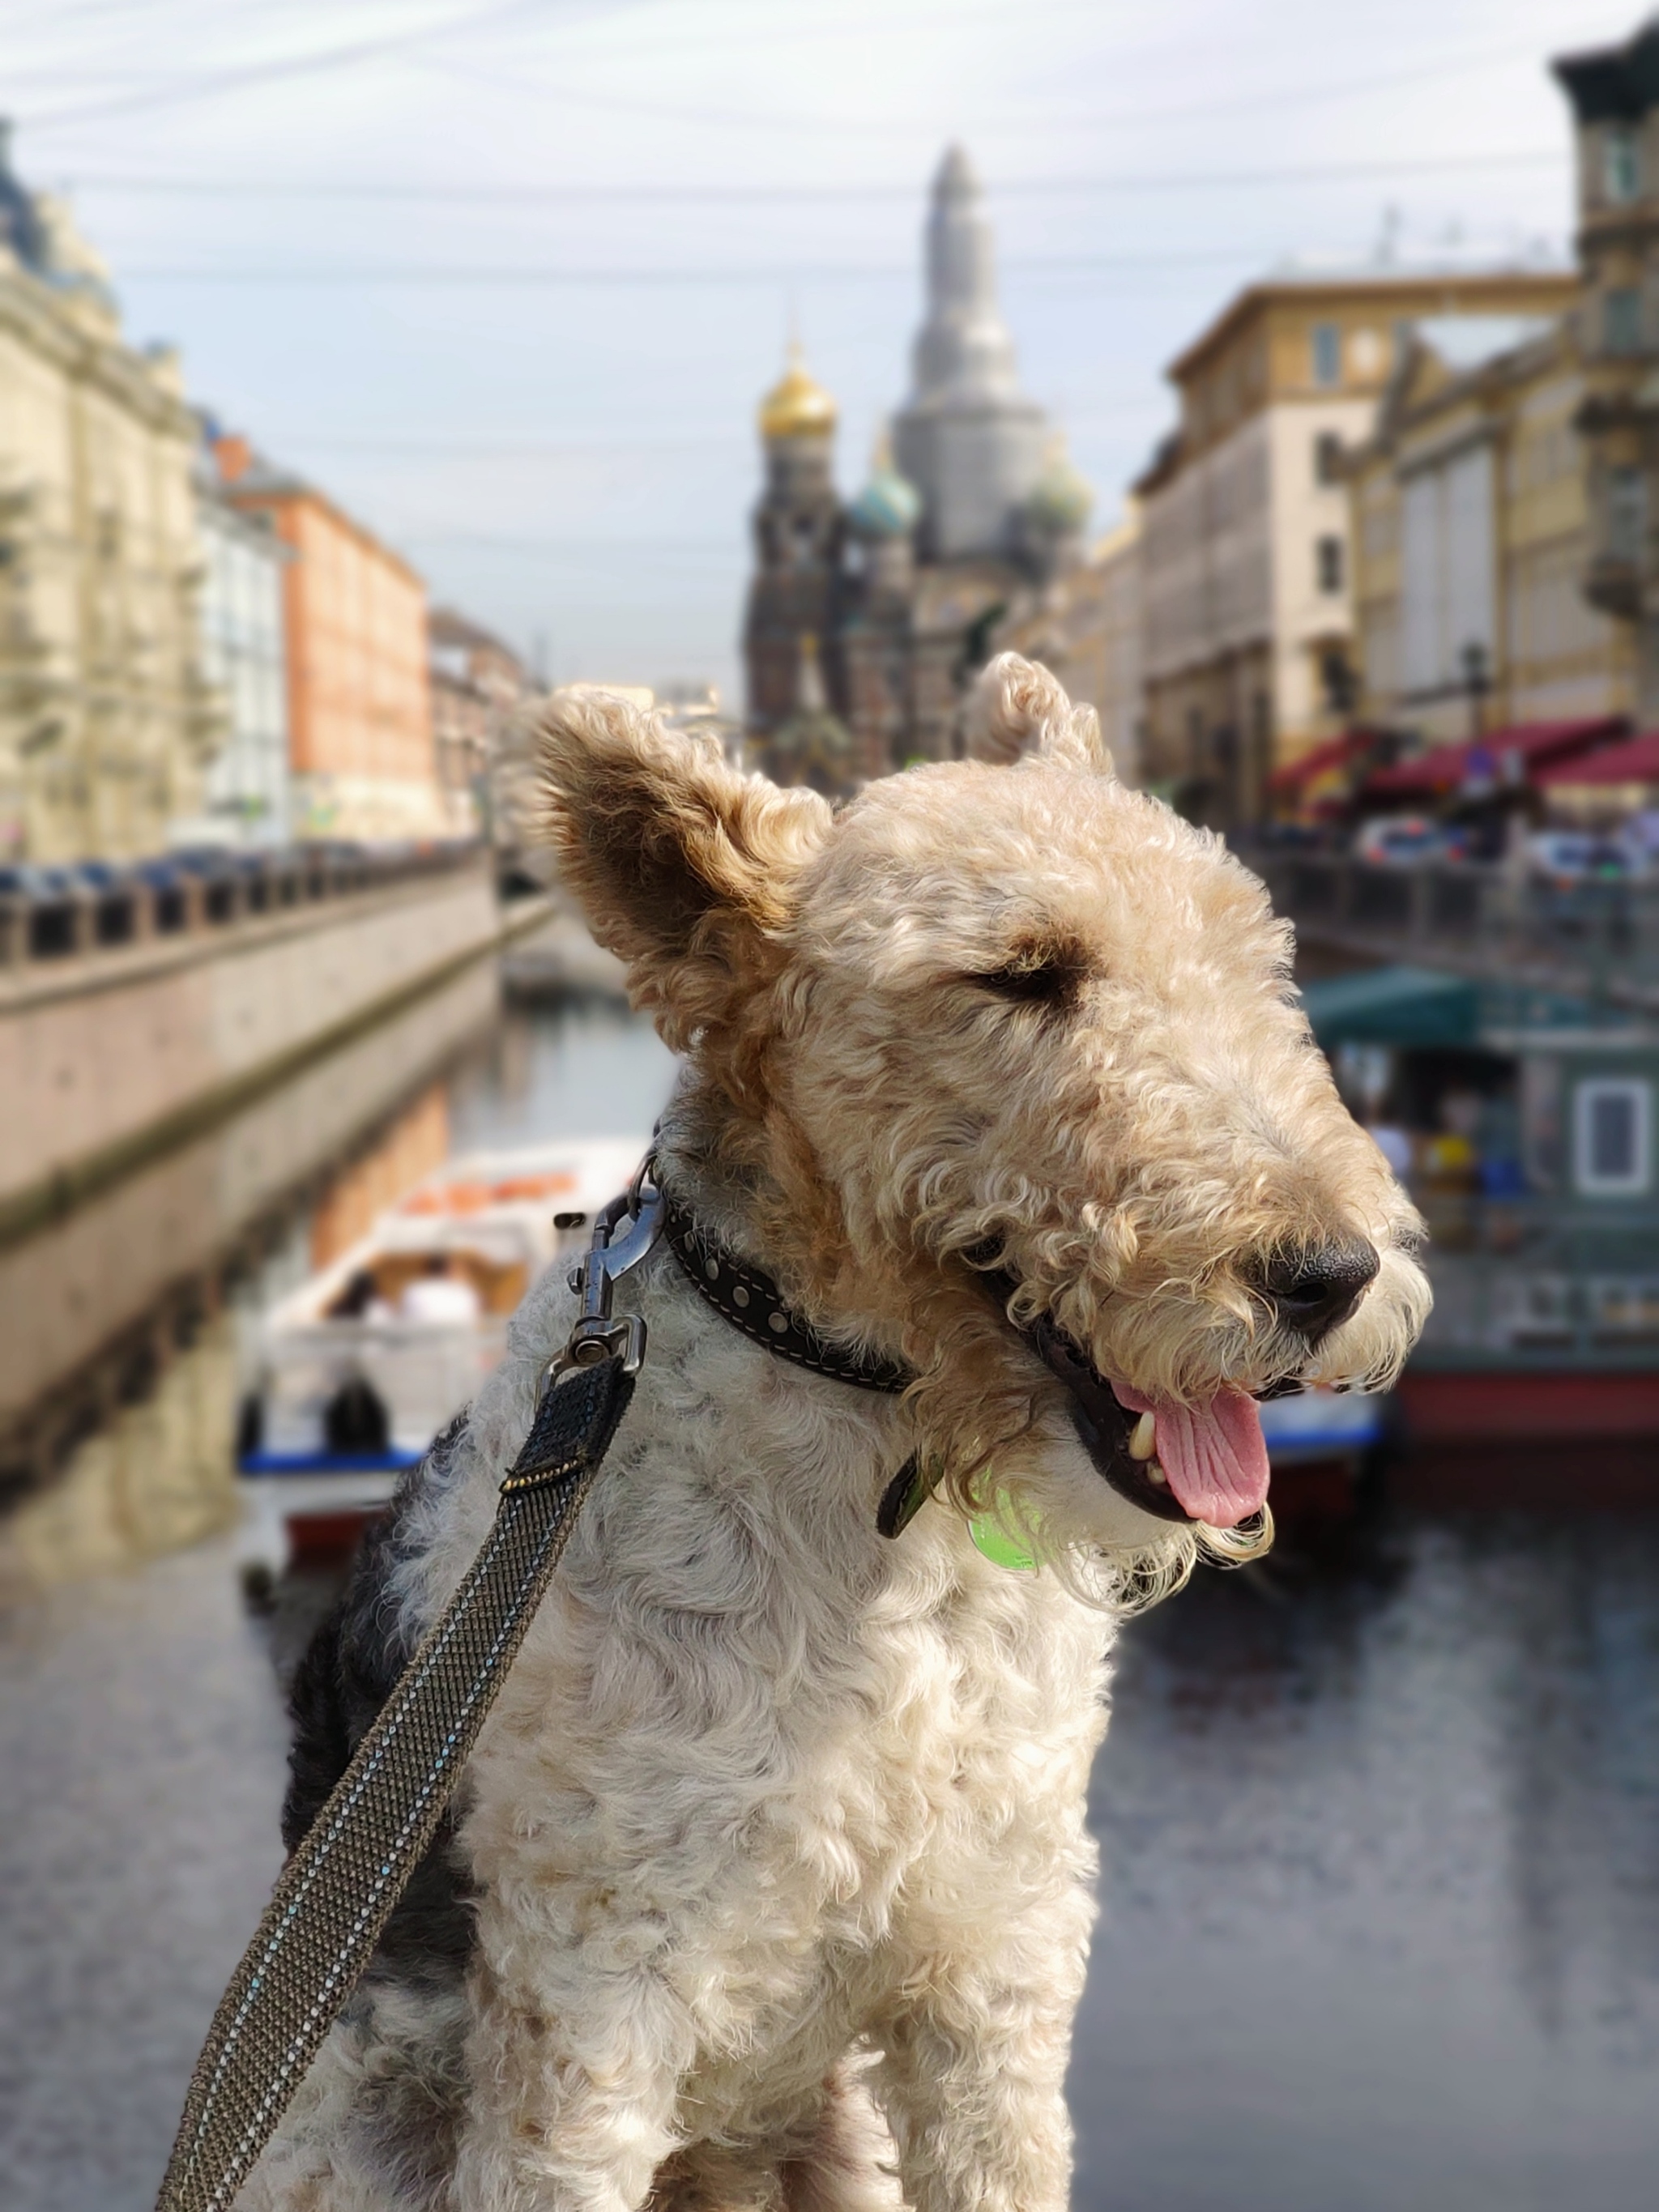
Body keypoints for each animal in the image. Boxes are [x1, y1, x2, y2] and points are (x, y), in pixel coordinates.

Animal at [253, 654, 1433, 2212]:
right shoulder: (594, 1994)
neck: (887, 1486)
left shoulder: (992, 1955)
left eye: (1254, 957)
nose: (1331, 1274)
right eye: (1021, 972)